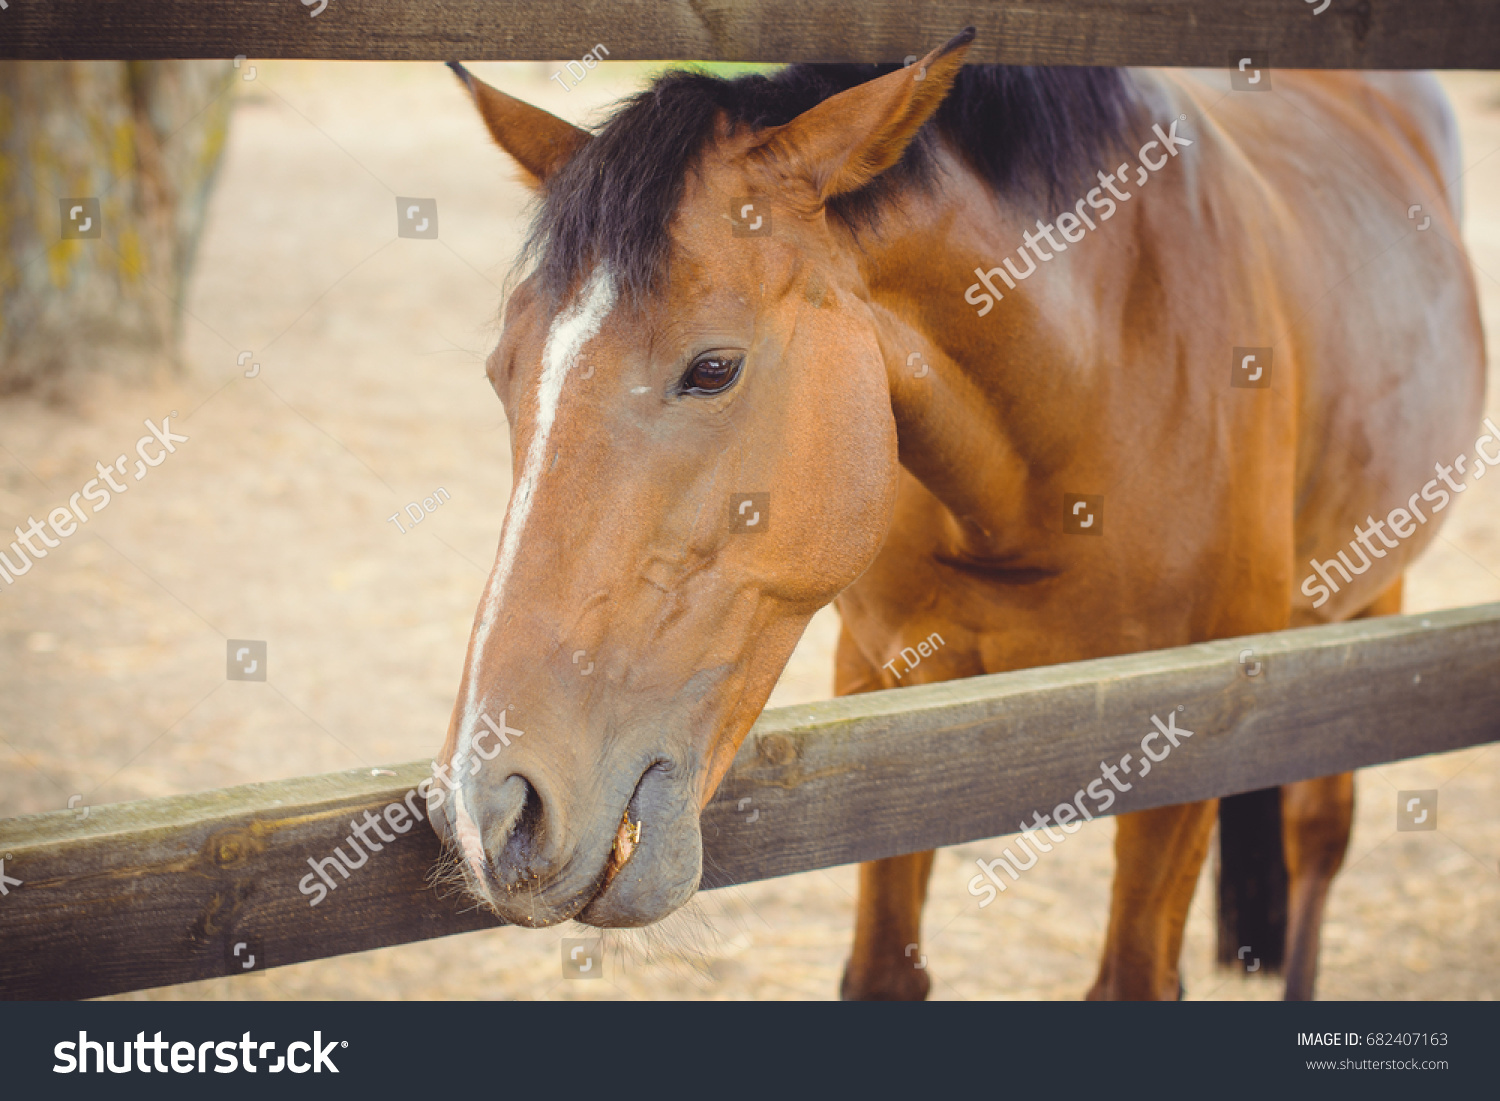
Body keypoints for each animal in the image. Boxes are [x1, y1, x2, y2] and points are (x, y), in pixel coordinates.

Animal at [429, 32, 1482, 1002]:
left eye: (714, 367)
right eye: (502, 372)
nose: (493, 812)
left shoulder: (1203, 717)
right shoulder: (886, 687)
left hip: (1369, 593)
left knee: (1319, 835)